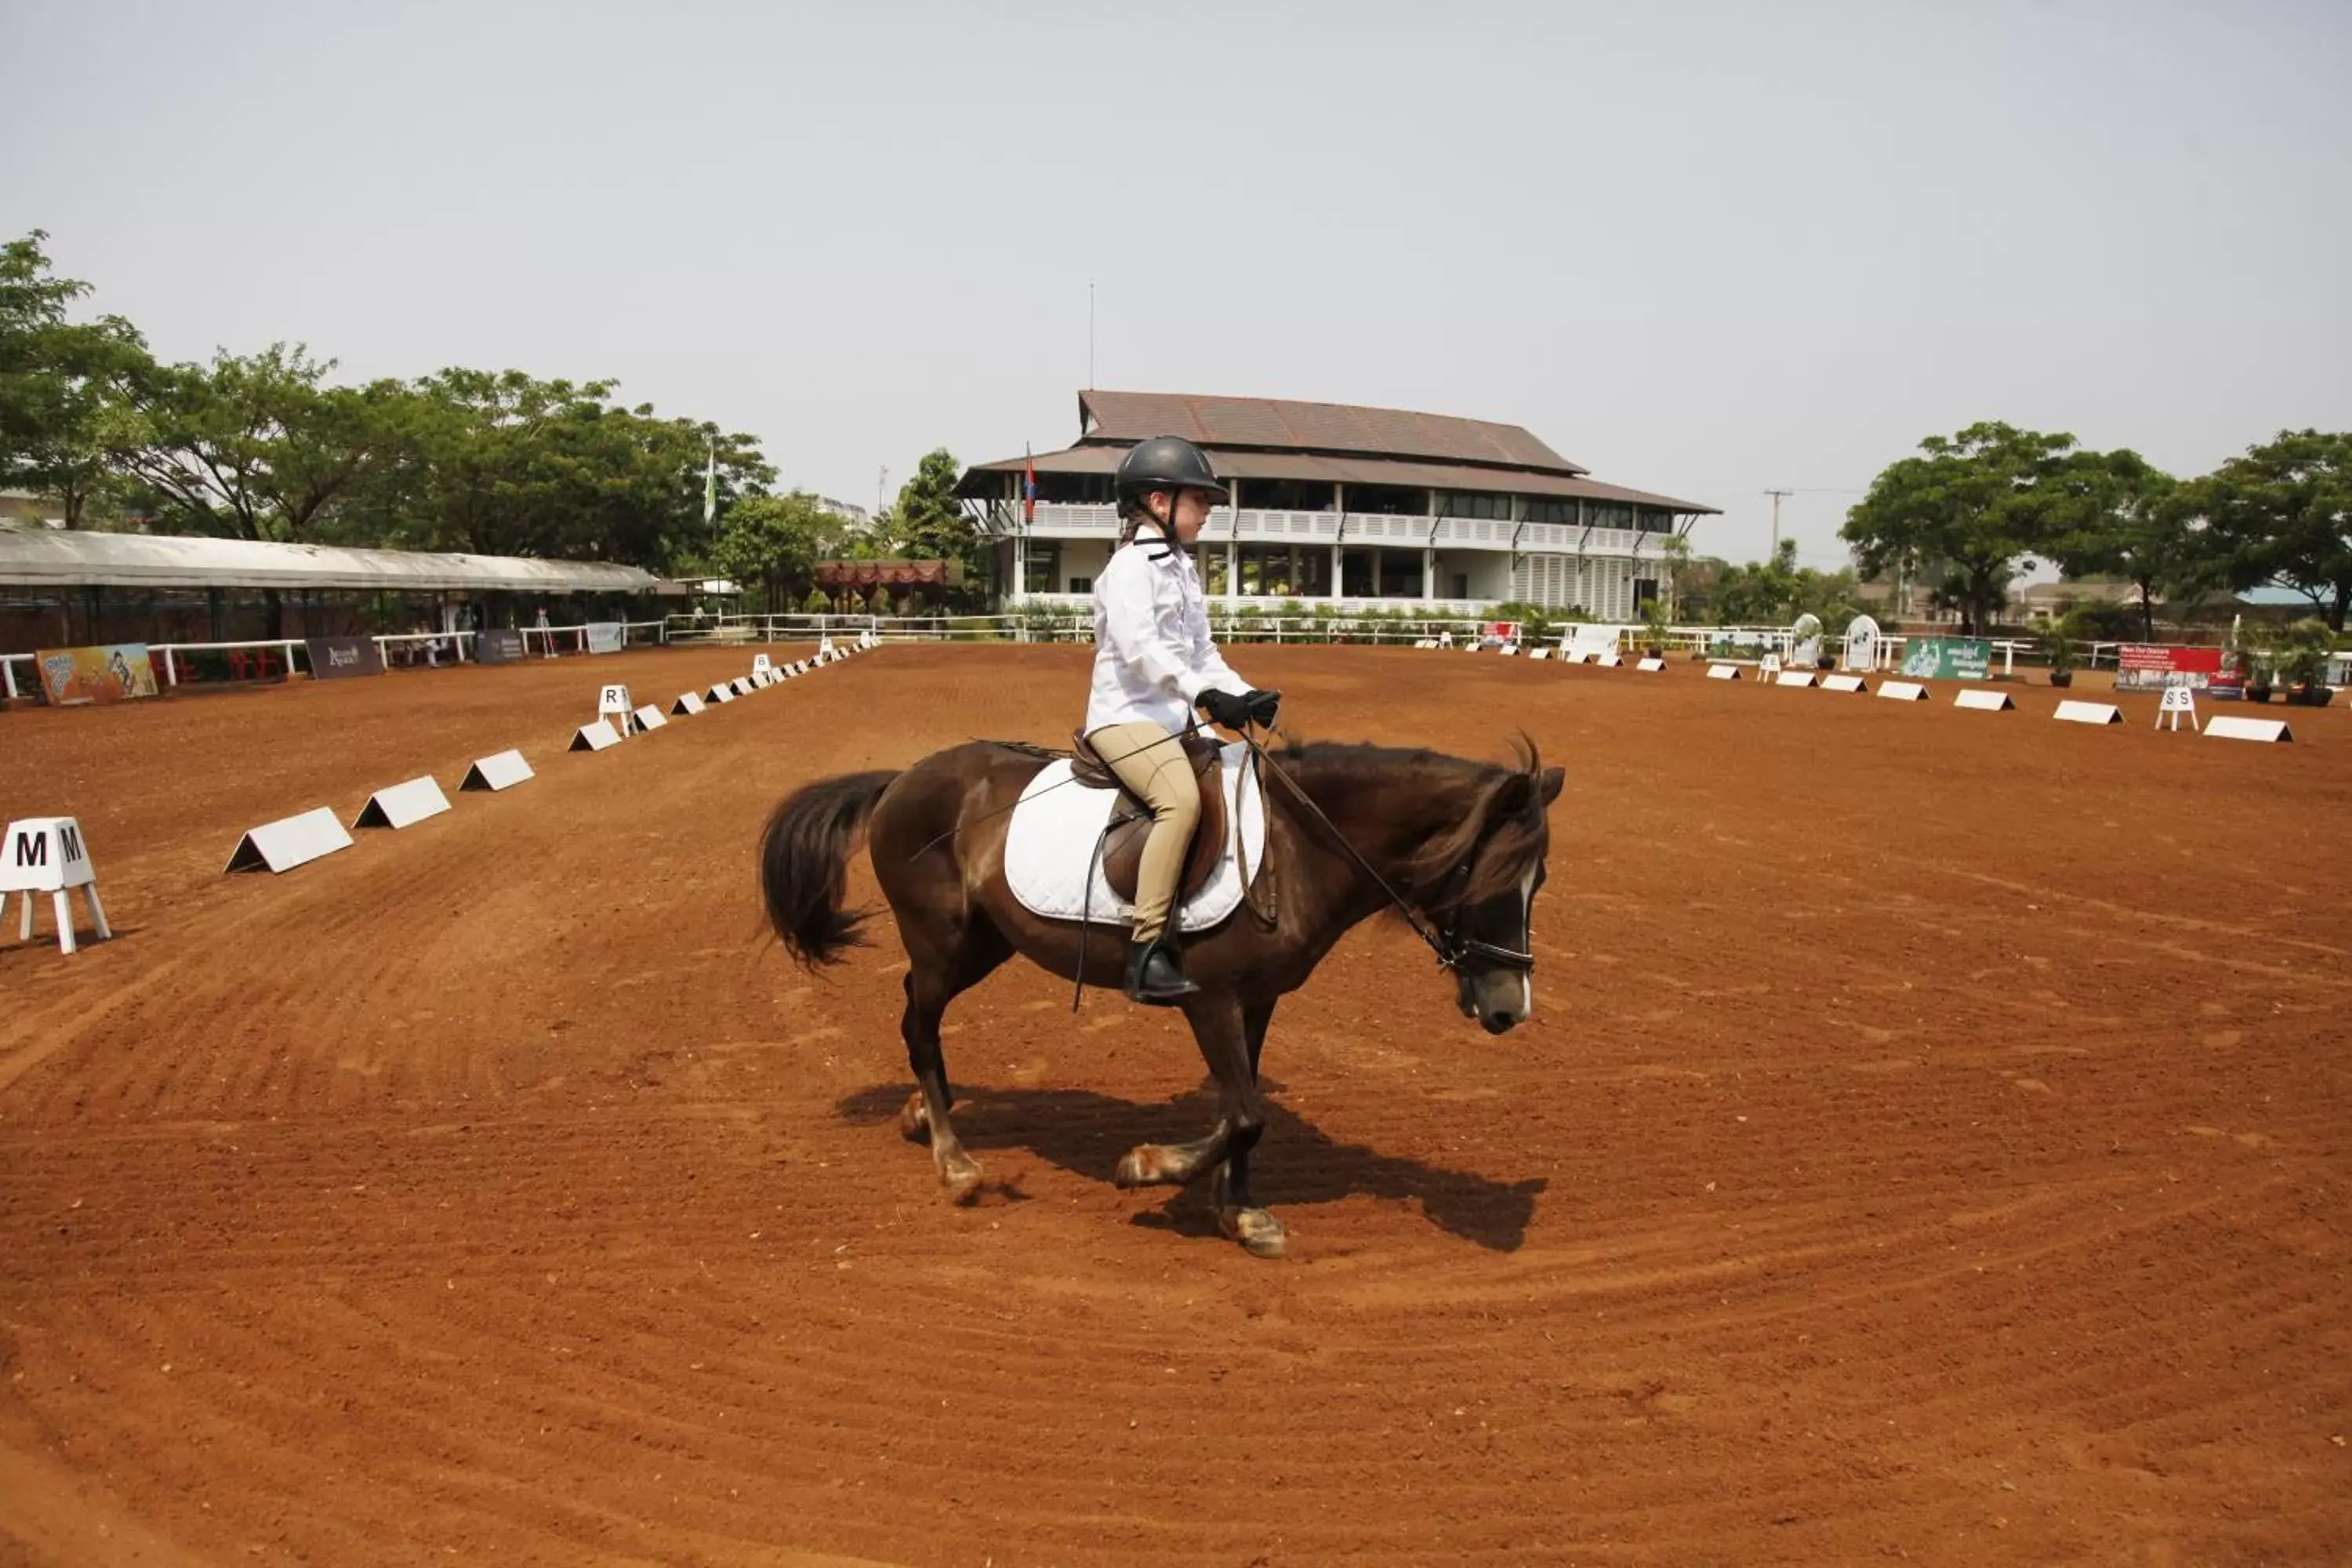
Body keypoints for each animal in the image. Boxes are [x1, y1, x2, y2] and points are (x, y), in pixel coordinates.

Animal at [757, 738, 1562, 1260]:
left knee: (915, 1019)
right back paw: (954, 1162)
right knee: (918, 1026)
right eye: (1490, 877)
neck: (1299, 846)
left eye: (1540, 883)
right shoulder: (1209, 1000)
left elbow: (1243, 1115)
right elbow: (1245, 1115)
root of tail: (903, 779)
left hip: (981, 946)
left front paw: (1240, 1215)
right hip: (941, 943)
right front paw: (1146, 1168)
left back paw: (923, 1116)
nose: (1509, 1008)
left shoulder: (1257, 1002)